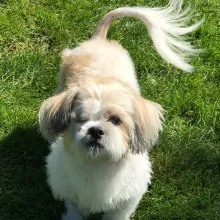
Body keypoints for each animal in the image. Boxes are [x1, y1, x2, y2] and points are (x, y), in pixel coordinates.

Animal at [38, 0, 200, 219]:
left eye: (116, 120)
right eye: (80, 119)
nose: (95, 130)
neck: (98, 166)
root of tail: (98, 40)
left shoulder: (125, 203)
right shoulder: (72, 197)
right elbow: (74, 211)